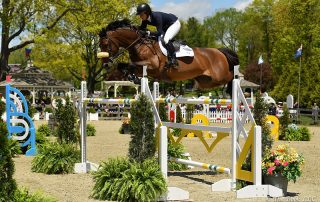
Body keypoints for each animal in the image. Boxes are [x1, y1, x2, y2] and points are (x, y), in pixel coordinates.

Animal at [99, 19, 239, 95]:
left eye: (105, 44)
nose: (105, 64)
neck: (140, 45)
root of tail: (219, 51)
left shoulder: (152, 67)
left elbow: (131, 65)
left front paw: (133, 77)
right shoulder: (141, 67)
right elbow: (123, 66)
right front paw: (132, 77)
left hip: (219, 76)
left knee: (231, 77)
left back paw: (232, 88)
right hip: (206, 81)